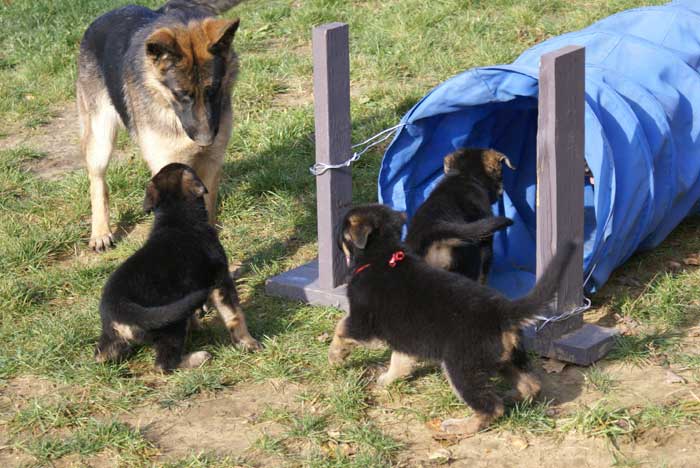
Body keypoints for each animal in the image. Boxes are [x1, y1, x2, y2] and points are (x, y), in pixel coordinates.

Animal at [77, 0, 242, 252]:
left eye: (213, 90)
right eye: (181, 94)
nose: (205, 141)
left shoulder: (210, 163)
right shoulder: (168, 165)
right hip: (101, 139)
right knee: (98, 182)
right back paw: (101, 231)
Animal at [95, 163, 260, 372]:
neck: (175, 217)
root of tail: (119, 307)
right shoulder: (221, 279)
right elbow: (235, 315)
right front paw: (249, 343)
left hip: (115, 336)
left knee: (101, 355)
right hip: (170, 326)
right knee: (164, 364)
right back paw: (199, 357)